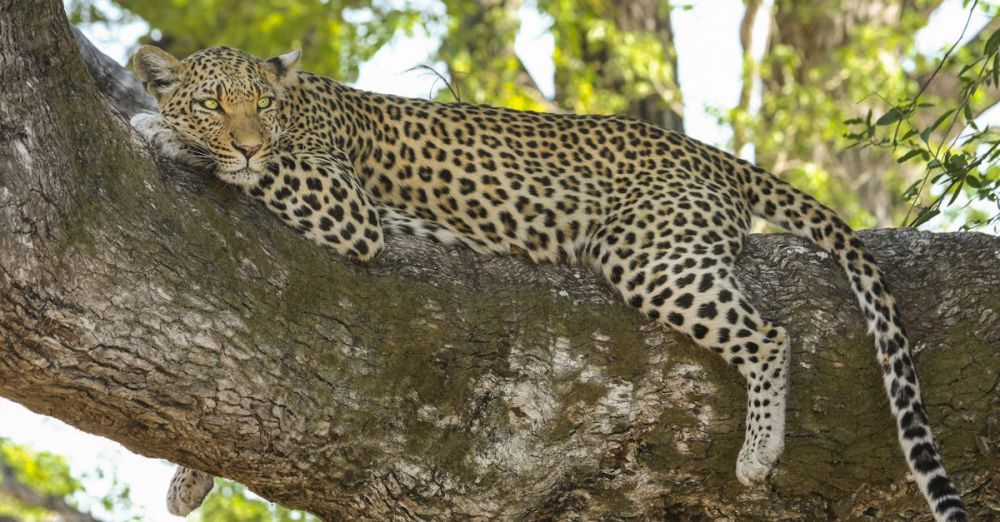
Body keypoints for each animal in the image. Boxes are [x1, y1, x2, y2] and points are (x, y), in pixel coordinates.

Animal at [129, 45, 964, 520]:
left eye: (261, 104)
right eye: (216, 101)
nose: (246, 139)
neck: (298, 105)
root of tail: (708, 153)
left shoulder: (345, 203)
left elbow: (267, 169)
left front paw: (159, 129)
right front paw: (190, 479)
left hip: (649, 253)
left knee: (769, 334)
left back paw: (759, 451)